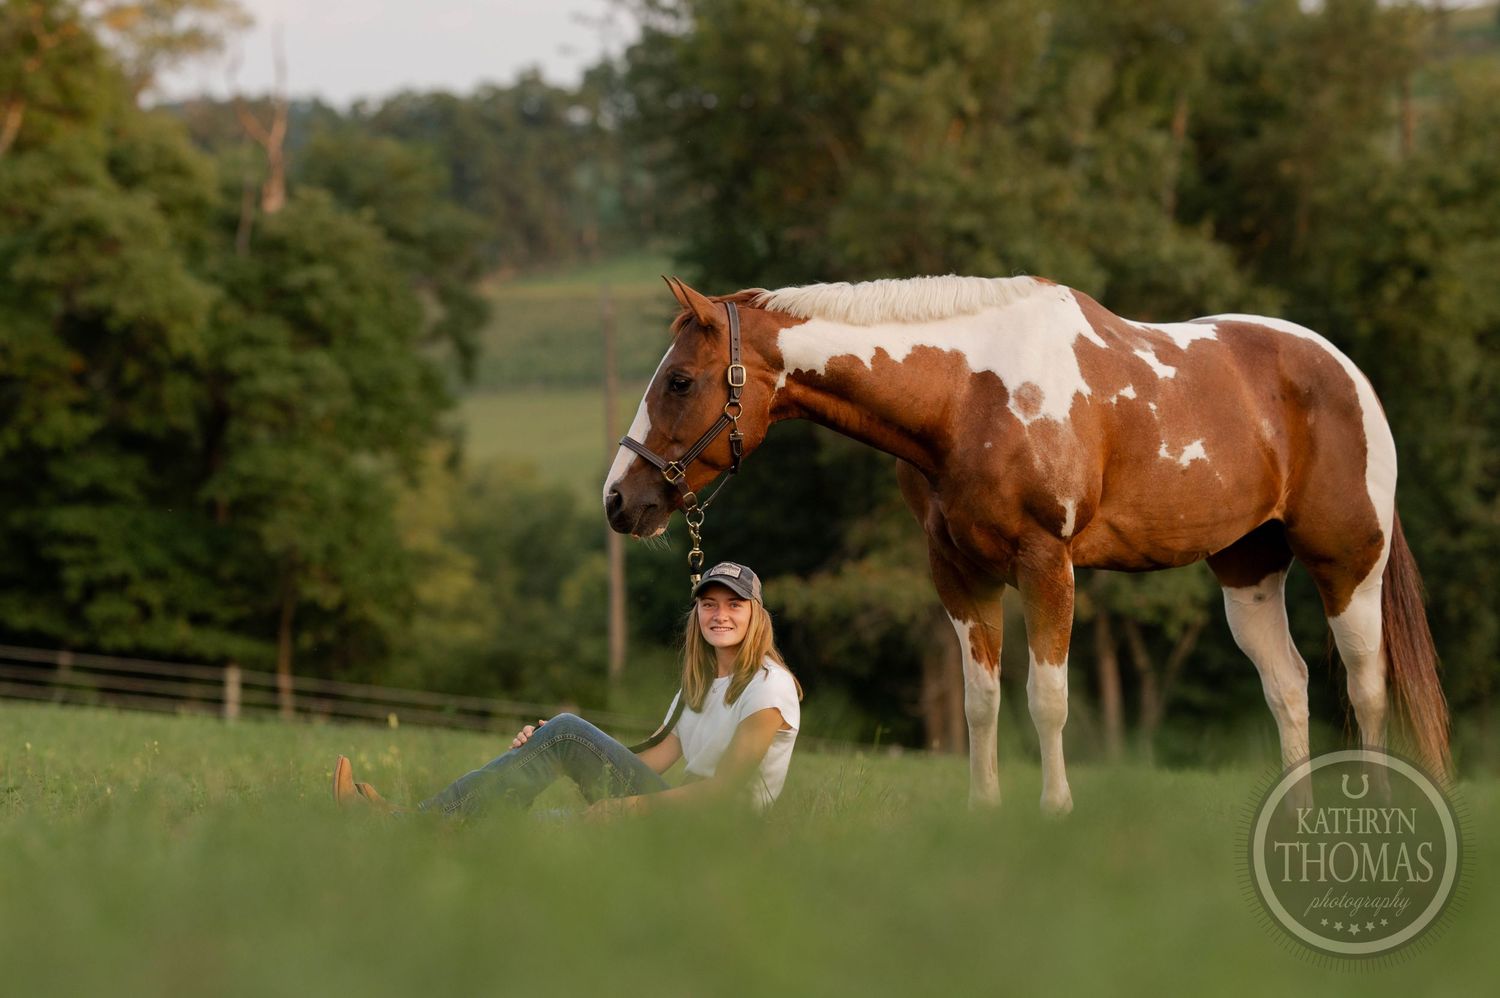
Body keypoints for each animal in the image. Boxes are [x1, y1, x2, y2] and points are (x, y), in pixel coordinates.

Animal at [603, 274, 1450, 812]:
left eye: (680, 381)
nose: (619, 501)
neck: (969, 394)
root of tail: (1347, 374)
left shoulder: (1047, 564)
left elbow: (1047, 700)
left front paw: (1055, 809)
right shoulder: (959, 573)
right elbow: (981, 703)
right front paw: (986, 811)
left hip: (1350, 564)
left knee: (1367, 686)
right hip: (1248, 570)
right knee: (1290, 685)